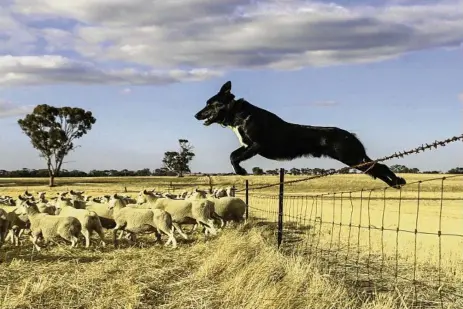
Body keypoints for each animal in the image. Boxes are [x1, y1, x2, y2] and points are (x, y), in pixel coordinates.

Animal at [194, 80, 408, 189]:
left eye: (210, 104)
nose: (196, 115)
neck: (238, 114)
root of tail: (350, 135)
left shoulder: (257, 146)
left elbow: (233, 157)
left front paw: (241, 171)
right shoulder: (247, 146)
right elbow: (233, 155)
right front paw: (240, 171)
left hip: (351, 158)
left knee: (380, 166)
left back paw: (397, 181)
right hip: (355, 158)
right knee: (377, 168)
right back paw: (395, 183)